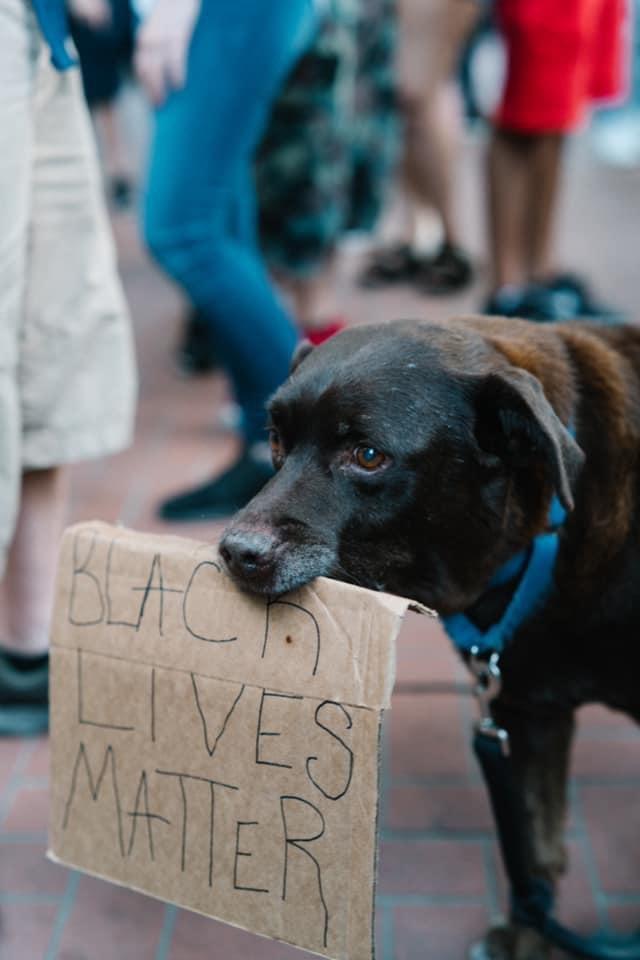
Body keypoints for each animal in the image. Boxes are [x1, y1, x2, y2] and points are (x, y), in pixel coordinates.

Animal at [220, 318, 640, 956]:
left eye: (368, 455)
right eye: (275, 438)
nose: (235, 553)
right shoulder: (527, 711)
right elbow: (533, 851)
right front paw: (529, 934)